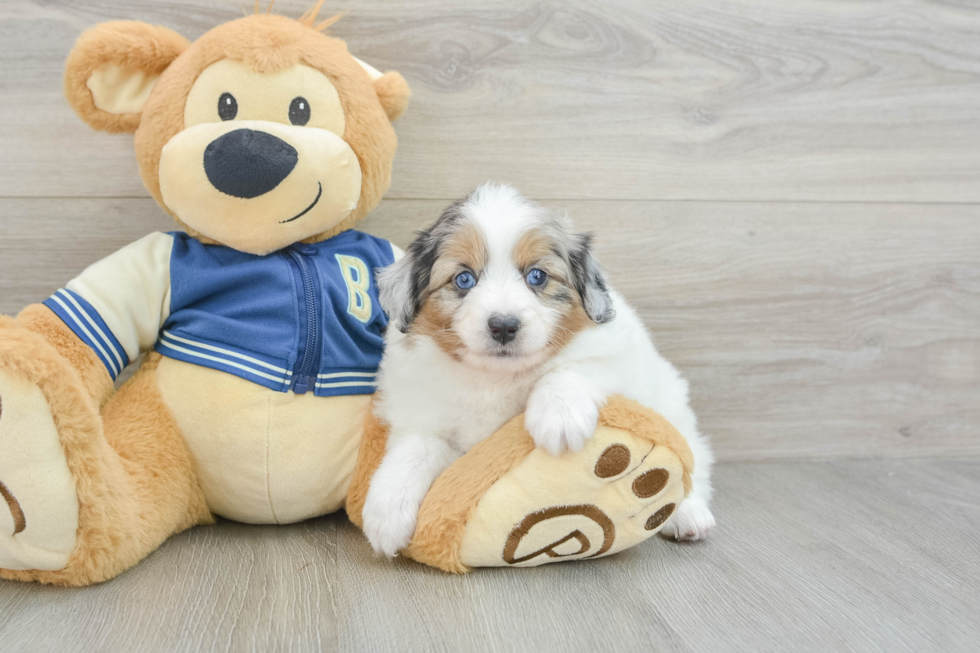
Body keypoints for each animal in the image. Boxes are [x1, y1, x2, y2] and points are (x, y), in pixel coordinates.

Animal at [360, 182, 712, 556]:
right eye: (464, 279)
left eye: (537, 276)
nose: (503, 326)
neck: (495, 378)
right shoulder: (424, 413)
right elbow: (415, 448)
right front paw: (386, 512)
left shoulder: (615, 355)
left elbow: (568, 368)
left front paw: (559, 418)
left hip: (673, 406)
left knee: (692, 462)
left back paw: (688, 514)